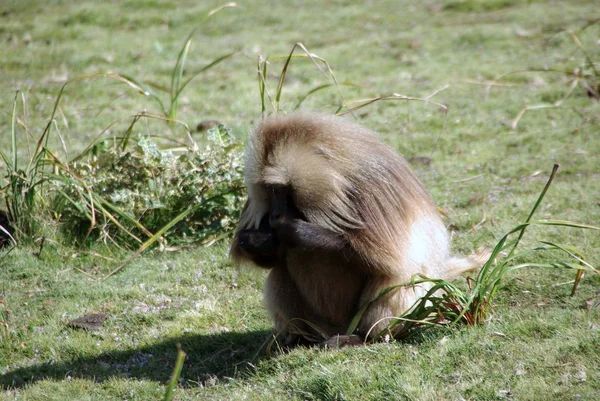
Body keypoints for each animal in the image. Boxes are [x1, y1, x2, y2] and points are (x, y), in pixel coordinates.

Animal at [232, 111, 490, 344]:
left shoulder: (370, 191)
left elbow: (387, 258)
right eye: (269, 190)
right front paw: (256, 240)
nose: (274, 215)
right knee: (280, 271)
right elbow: (273, 258)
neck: (337, 178)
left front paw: (295, 231)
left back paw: (361, 337)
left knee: (395, 277)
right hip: (320, 323)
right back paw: (299, 338)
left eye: (281, 189)